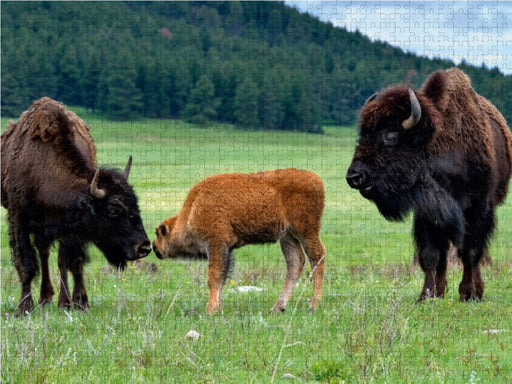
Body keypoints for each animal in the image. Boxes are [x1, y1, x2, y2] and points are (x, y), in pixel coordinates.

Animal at [1, 97, 152, 314]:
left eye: (136, 205)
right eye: (113, 210)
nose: (144, 247)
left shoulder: (71, 227)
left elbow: (72, 262)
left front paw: (79, 303)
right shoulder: (18, 219)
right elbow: (26, 265)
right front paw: (24, 307)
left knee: (53, 257)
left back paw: (55, 300)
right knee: (44, 254)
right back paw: (44, 299)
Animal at [154, 170, 326, 314]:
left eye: (158, 233)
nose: (154, 248)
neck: (193, 209)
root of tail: (316, 180)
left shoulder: (216, 244)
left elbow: (213, 277)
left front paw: (210, 309)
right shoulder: (226, 250)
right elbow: (222, 278)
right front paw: (218, 307)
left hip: (306, 231)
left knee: (317, 257)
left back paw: (313, 306)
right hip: (288, 236)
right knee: (296, 263)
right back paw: (278, 307)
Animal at [346, 69, 510, 304]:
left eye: (390, 137)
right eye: (362, 135)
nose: (354, 176)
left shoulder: (478, 207)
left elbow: (470, 250)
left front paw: (468, 292)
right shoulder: (427, 212)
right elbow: (430, 254)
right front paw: (427, 295)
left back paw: (475, 291)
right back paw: (441, 291)